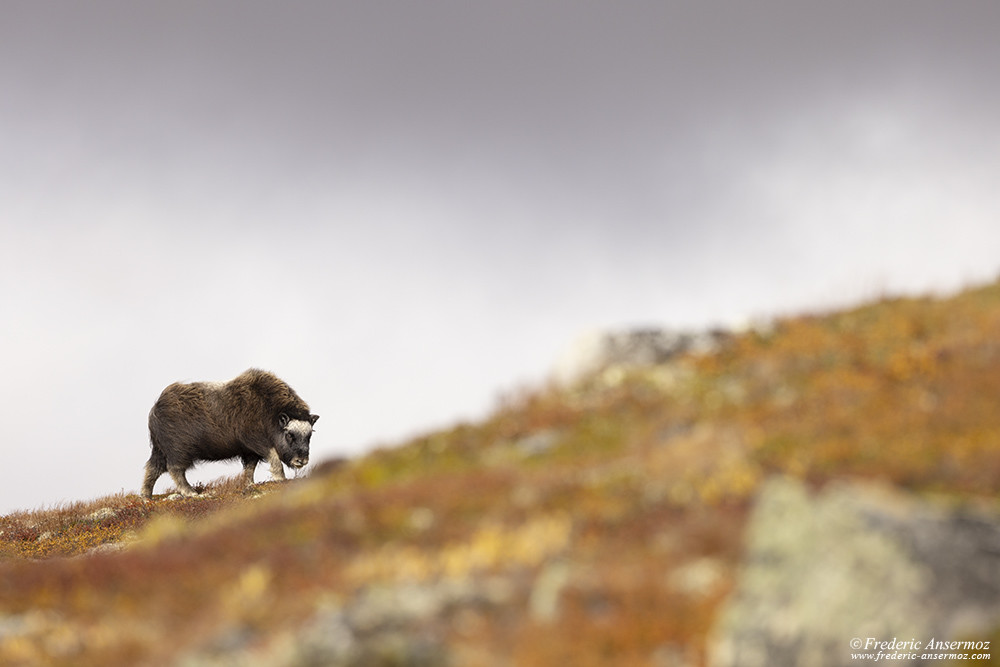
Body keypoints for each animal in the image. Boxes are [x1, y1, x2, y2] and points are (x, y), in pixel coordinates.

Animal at [141, 368, 318, 498]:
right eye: (289, 435)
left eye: (309, 436)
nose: (301, 461)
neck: (270, 413)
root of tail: (154, 410)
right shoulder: (257, 442)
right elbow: (274, 459)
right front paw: (281, 480)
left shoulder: (250, 451)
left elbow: (250, 468)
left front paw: (249, 485)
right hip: (179, 449)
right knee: (174, 469)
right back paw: (191, 493)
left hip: (160, 450)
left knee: (153, 468)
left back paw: (146, 497)